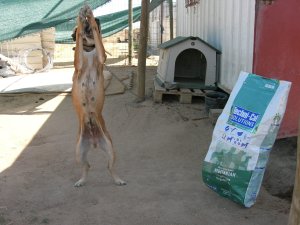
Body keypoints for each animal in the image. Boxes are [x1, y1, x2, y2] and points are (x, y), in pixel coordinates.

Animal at [72, 6, 126, 187]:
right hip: (79, 152)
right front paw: (81, 19)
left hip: (110, 148)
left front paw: (88, 15)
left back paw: (118, 180)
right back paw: (81, 181)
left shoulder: (102, 56)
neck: (89, 51)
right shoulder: (78, 63)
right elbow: (79, 39)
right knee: (86, 166)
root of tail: (94, 141)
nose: (98, 19)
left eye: (97, 23)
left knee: (109, 167)